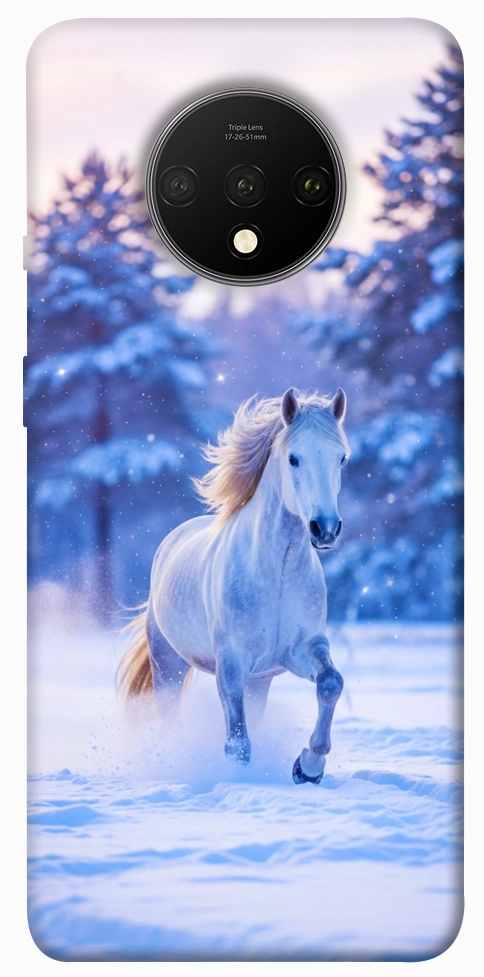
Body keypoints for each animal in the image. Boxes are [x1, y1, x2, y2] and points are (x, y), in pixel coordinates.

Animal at [118, 387, 350, 784]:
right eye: (294, 458)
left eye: (341, 459)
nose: (325, 529)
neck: (277, 573)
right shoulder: (231, 664)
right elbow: (237, 742)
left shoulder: (302, 649)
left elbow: (331, 683)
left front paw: (308, 767)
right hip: (168, 665)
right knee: (171, 717)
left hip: (259, 682)